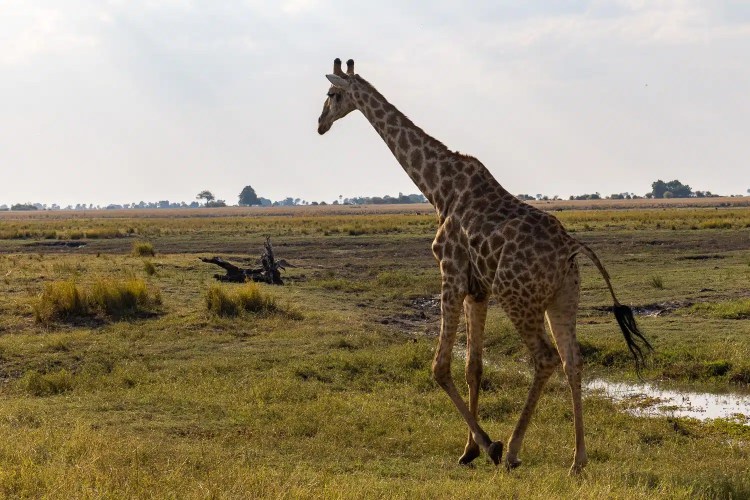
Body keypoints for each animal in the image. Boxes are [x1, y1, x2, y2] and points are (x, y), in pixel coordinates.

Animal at [317, 58, 652, 474]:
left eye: (332, 94)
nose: (320, 123)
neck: (437, 188)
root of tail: (571, 248)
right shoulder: (478, 289)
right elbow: (473, 366)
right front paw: (468, 450)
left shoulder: (451, 272)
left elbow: (440, 366)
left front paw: (488, 445)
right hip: (562, 299)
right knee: (573, 361)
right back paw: (578, 461)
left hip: (517, 297)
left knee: (545, 358)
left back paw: (512, 451)